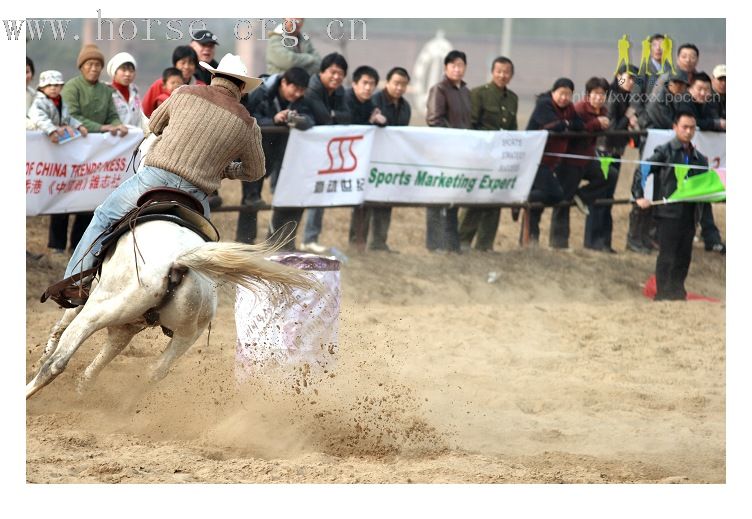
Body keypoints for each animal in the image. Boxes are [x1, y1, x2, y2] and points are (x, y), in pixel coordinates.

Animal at [26, 221, 314, 400]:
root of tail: (178, 263)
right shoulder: (126, 327)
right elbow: (104, 356)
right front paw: (82, 389)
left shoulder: (87, 298)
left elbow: (62, 325)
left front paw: (43, 357)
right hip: (188, 333)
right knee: (155, 371)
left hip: (99, 309)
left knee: (58, 361)